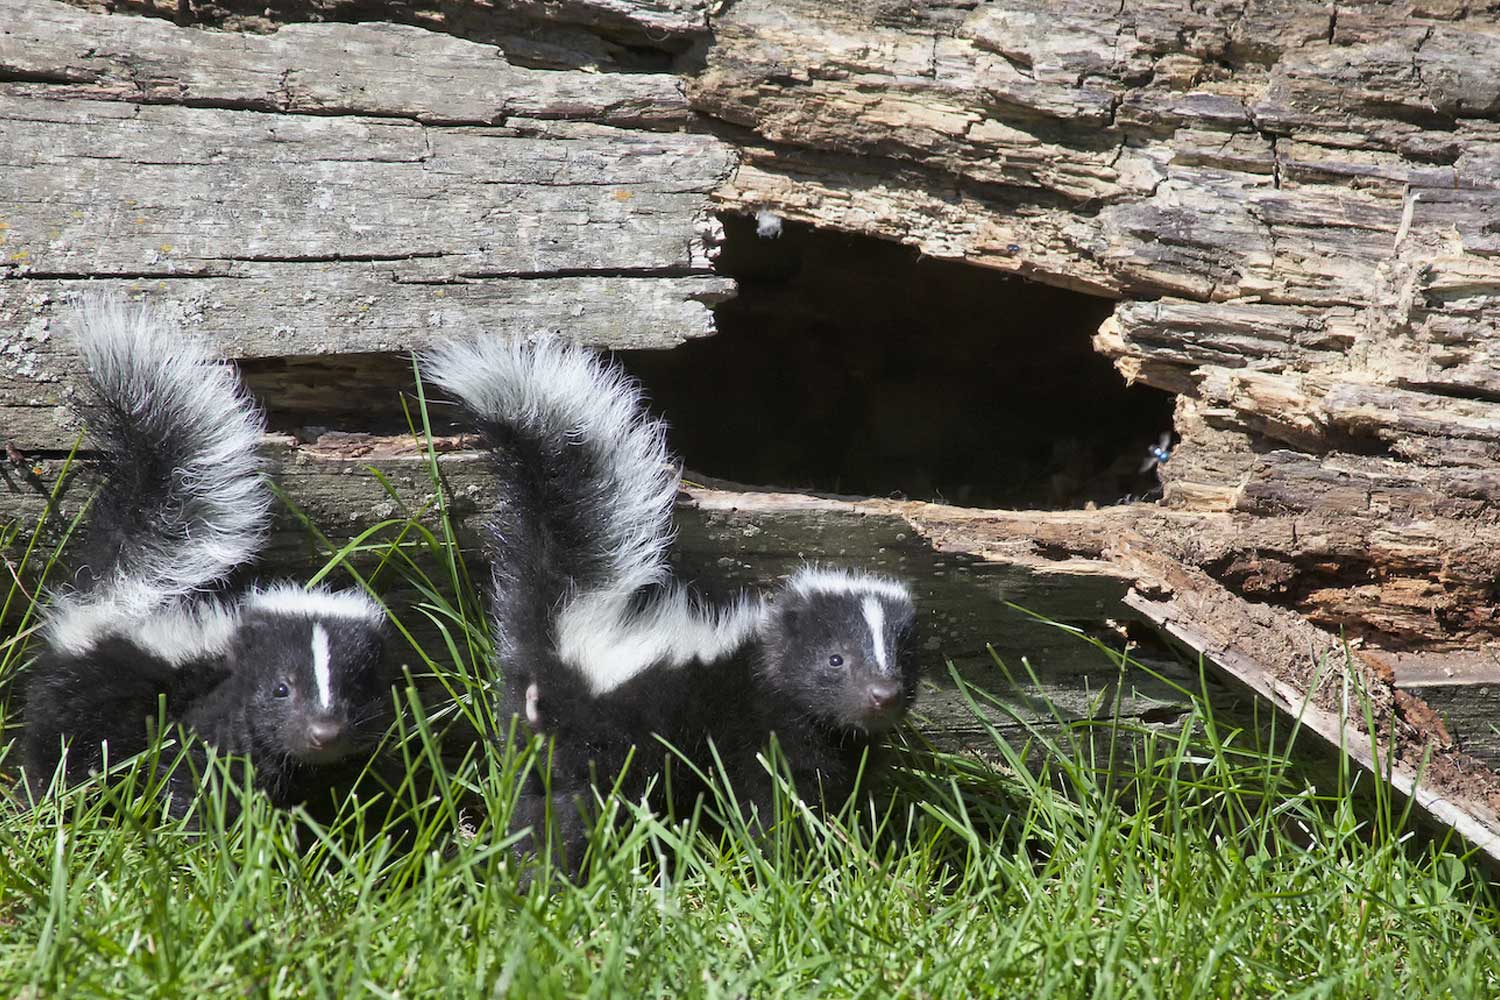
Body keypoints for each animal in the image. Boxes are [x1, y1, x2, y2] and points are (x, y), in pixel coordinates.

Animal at [21, 295, 396, 815]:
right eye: (280, 689)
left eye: (358, 690)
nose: (324, 733)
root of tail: (123, 590)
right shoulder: (204, 714)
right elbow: (196, 779)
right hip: (88, 694)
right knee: (62, 752)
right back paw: (52, 802)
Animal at [417, 338, 918, 869]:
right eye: (835, 660)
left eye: (904, 660)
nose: (883, 694)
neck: (763, 663)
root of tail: (564, 627)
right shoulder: (761, 725)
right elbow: (772, 797)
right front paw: (785, 856)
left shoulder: (835, 738)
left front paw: (851, 841)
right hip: (591, 737)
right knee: (576, 804)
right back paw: (554, 866)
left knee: (533, 793)